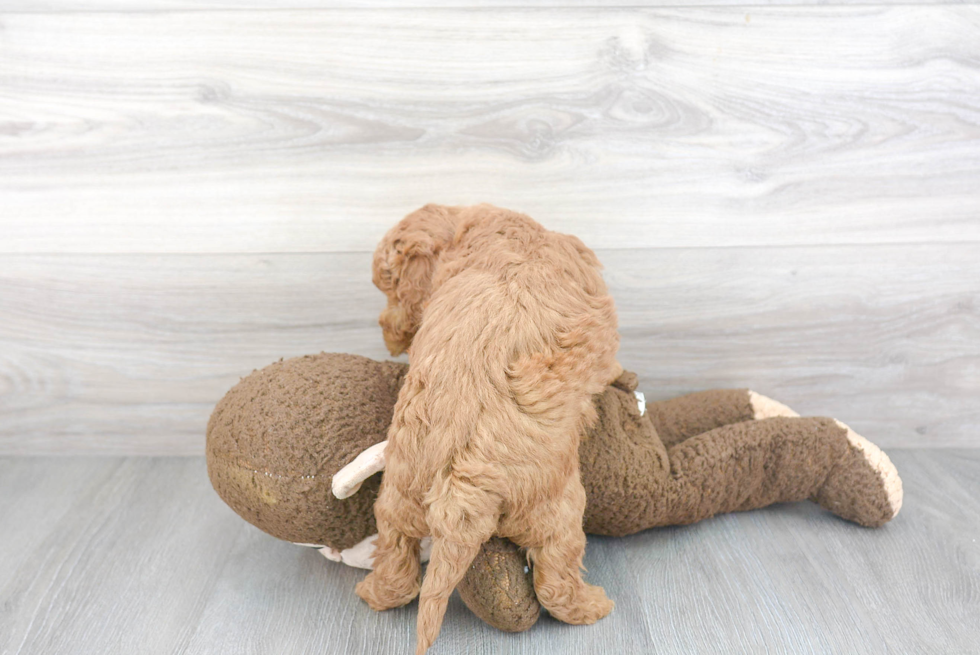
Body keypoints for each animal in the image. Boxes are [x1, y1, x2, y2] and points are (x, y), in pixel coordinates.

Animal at [358, 202, 620, 652]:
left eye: (390, 289)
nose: (388, 332)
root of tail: (459, 479)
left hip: (399, 494)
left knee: (397, 558)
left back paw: (374, 591)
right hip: (556, 505)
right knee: (555, 576)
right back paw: (591, 607)